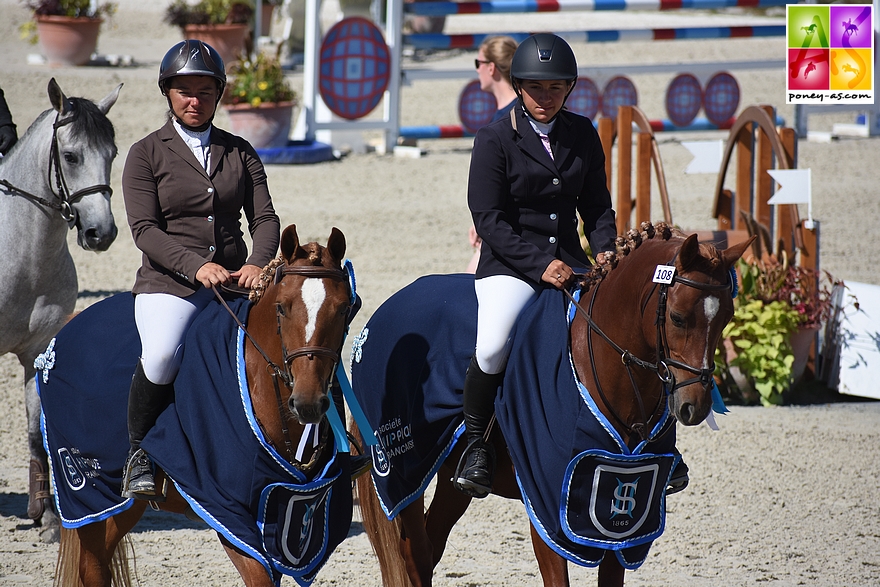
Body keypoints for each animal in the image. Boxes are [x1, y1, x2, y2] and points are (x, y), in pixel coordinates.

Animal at [0, 77, 121, 544]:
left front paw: (47, 516)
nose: (102, 233)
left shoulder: (37, 351)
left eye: (112, 154)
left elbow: (38, 431)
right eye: (70, 156)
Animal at [52, 225, 350, 587]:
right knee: (92, 567)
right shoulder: (230, 510)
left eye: (343, 308)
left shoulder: (286, 514)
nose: (308, 402)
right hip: (87, 495)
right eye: (282, 307)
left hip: (122, 504)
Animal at [354, 224, 752, 587]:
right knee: (415, 553)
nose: (694, 406)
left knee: (431, 546)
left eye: (727, 318)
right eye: (677, 317)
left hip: (451, 478)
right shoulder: (547, 505)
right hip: (403, 471)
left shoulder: (625, 516)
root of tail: (387, 308)